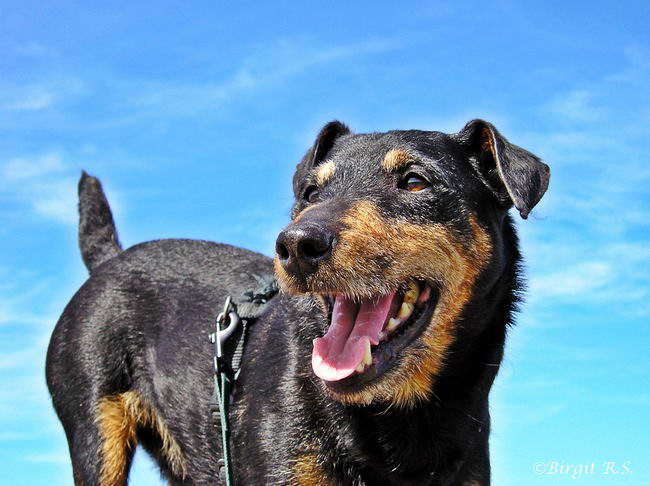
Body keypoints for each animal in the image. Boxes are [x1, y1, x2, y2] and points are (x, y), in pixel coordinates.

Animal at [45, 118, 548, 486]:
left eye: (415, 181)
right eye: (311, 193)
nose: (295, 245)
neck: (400, 415)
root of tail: (110, 259)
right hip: (96, 434)